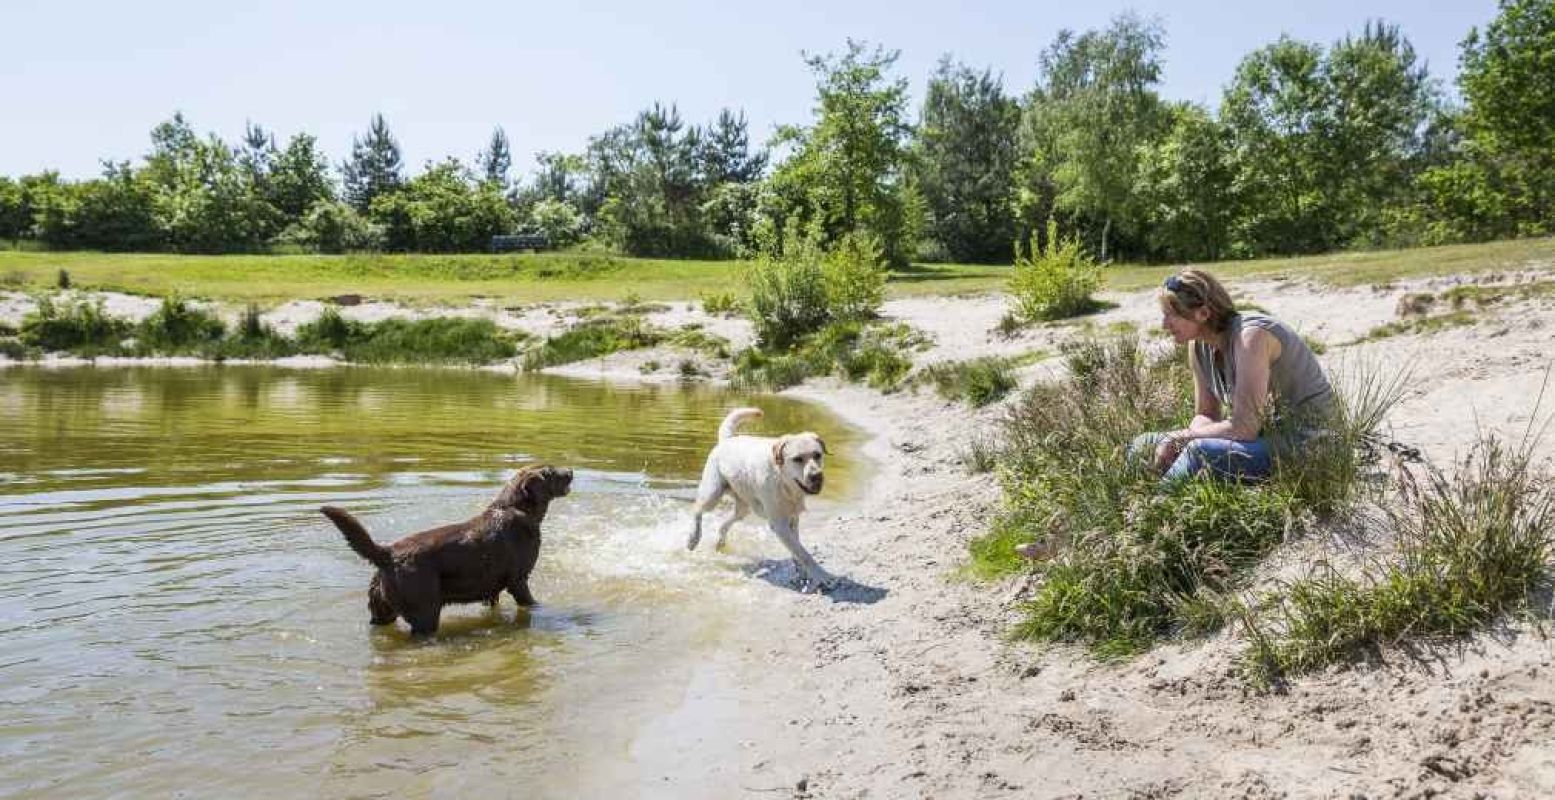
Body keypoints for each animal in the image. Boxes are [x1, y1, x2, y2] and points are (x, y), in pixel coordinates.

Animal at [320, 463, 572, 631]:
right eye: (550, 472)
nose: (570, 472)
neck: (515, 508)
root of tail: (387, 553)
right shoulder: (518, 581)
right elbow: (531, 603)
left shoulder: (492, 589)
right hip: (425, 612)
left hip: (382, 611)